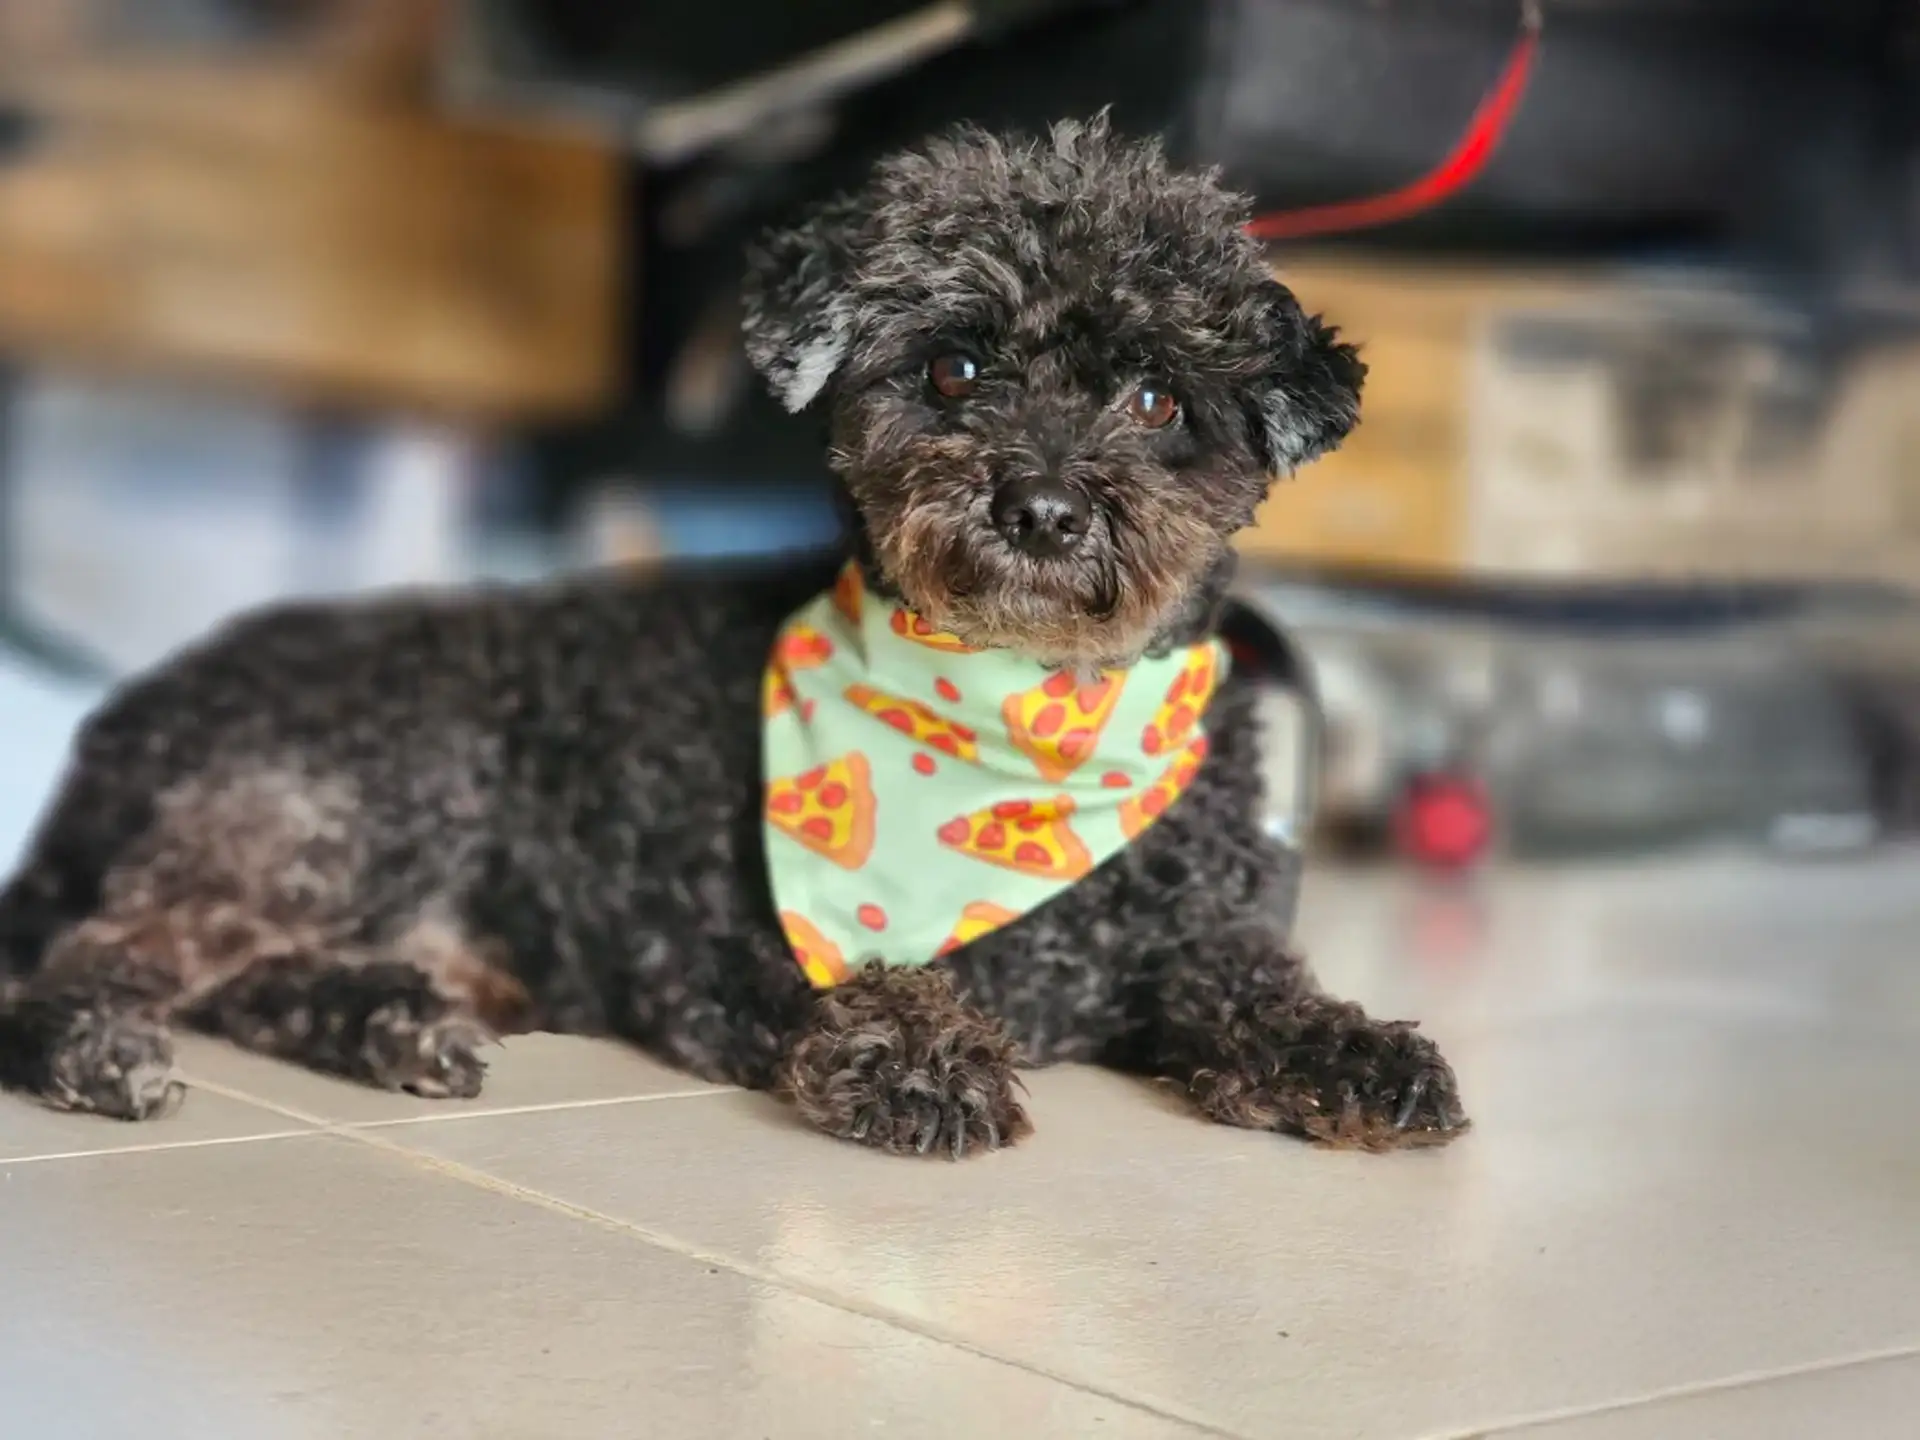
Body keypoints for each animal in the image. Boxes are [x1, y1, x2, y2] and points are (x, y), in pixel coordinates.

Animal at [0, 121, 1459, 1159]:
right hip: (368, 790)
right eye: (954, 368)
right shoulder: (738, 949)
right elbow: (859, 981)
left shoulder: (1192, 937)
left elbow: (1252, 977)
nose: (1043, 508)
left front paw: (1348, 1050)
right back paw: (90, 1047)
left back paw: (385, 1022)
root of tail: (126, 719)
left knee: (241, 980)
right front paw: (917, 1048)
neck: (1020, 724)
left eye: (1160, 398)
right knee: (107, 952)